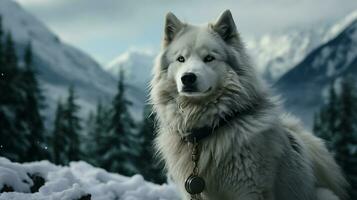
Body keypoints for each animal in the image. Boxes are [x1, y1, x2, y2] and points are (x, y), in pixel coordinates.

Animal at [149, 9, 346, 200]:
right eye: (181, 59)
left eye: (209, 58)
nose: (188, 78)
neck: (208, 130)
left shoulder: (250, 189)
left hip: (325, 195)